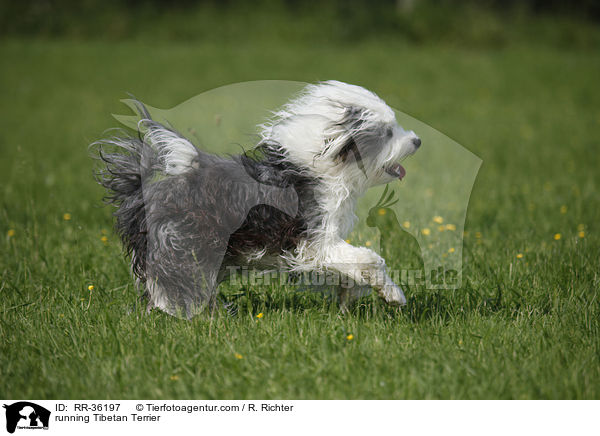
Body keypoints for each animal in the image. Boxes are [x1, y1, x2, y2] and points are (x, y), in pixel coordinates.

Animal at [95, 80, 422, 316]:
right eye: (387, 133)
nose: (417, 140)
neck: (324, 168)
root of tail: (143, 193)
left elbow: (349, 268)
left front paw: (353, 295)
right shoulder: (315, 241)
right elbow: (370, 259)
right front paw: (394, 295)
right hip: (185, 243)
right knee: (168, 285)